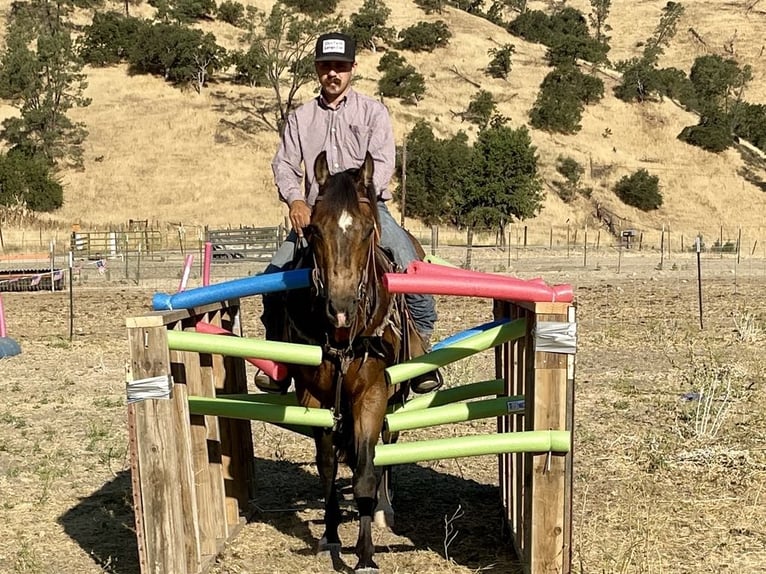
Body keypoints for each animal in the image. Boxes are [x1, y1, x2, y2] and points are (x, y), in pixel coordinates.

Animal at [278, 151, 428, 572]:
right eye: (314, 230)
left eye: (365, 231)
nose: (340, 308)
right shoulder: (314, 399)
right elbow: (327, 467)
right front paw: (330, 536)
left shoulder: (373, 394)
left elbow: (364, 473)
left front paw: (364, 556)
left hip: (394, 396)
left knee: (386, 446)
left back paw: (383, 509)